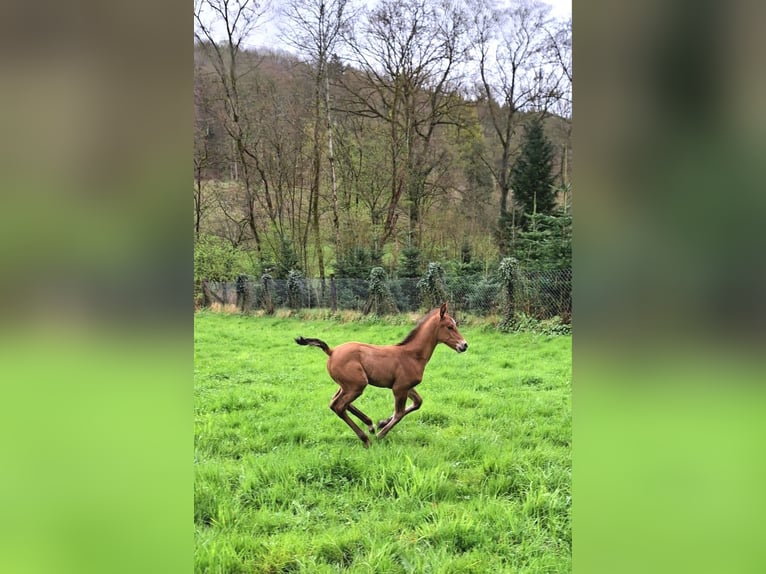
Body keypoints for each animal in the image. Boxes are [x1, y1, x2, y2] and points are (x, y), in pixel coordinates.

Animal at [295, 302, 468, 447]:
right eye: (450, 327)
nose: (464, 345)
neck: (412, 355)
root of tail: (331, 351)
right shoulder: (399, 388)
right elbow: (399, 413)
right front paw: (381, 434)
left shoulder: (405, 386)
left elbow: (417, 403)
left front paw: (382, 423)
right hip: (357, 385)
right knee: (338, 406)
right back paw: (366, 438)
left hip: (346, 385)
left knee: (334, 402)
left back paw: (370, 424)